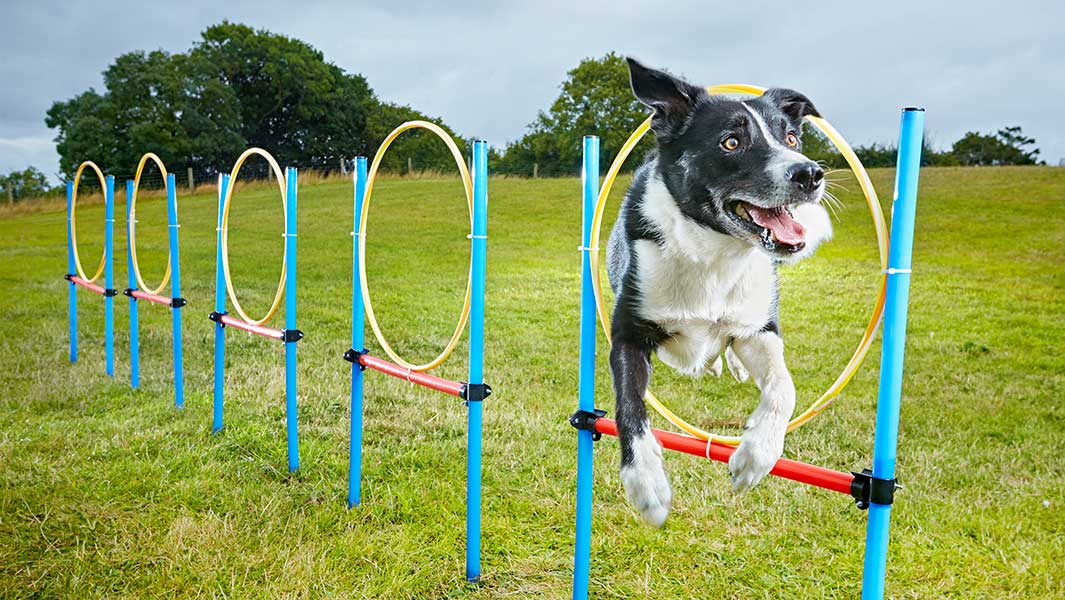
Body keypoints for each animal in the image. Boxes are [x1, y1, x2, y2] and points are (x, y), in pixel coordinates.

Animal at [609, 57, 830, 526]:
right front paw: (647, 484)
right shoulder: (629, 334)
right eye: (731, 142)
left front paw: (754, 457)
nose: (810, 173)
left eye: (791, 137)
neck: (714, 253)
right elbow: (630, 406)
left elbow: (784, 387)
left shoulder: (759, 328)